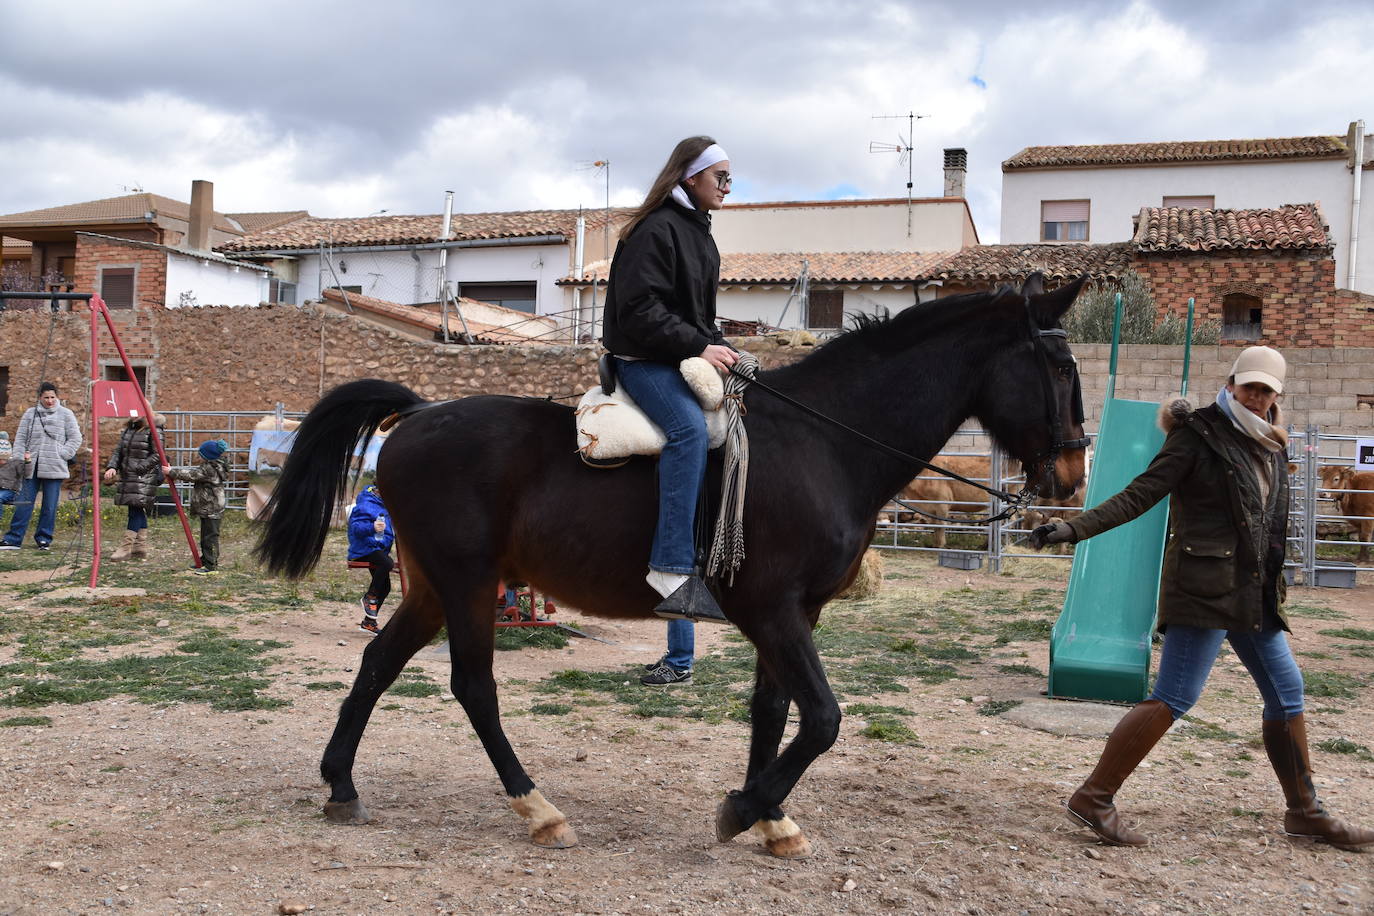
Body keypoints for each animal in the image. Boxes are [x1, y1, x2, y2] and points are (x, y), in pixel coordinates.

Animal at [252, 271, 1082, 862]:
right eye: (1056, 366)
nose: (1072, 478)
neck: (823, 444)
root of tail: (420, 413)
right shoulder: (773, 610)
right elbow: (821, 717)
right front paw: (741, 810)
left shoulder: (795, 614)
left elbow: (773, 711)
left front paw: (772, 820)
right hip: (467, 584)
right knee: (473, 687)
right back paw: (539, 809)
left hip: (431, 586)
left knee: (377, 664)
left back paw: (342, 784)